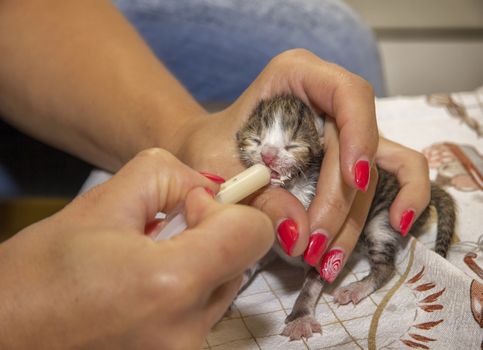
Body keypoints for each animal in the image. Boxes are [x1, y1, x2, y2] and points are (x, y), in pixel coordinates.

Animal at [236, 94, 456, 340]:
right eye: (255, 140)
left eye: (292, 145)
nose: (268, 156)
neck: (294, 188)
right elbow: (247, 266)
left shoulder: (323, 244)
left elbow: (311, 284)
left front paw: (300, 318)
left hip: (382, 218)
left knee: (385, 266)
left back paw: (356, 288)